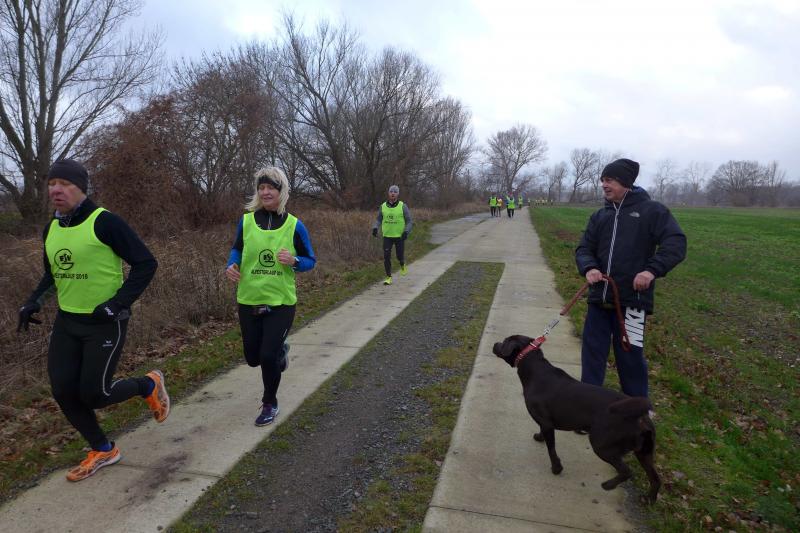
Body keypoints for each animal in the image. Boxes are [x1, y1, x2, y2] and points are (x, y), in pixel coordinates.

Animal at [493, 334, 661, 503]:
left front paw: (556, 468)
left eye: (504, 342)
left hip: (601, 445)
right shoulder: (545, 423)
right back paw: (649, 499)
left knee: (627, 471)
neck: (533, 368)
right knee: (655, 478)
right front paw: (539, 437)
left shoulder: (547, 424)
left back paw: (608, 485)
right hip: (644, 452)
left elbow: (551, 449)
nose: (495, 344)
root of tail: (640, 417)